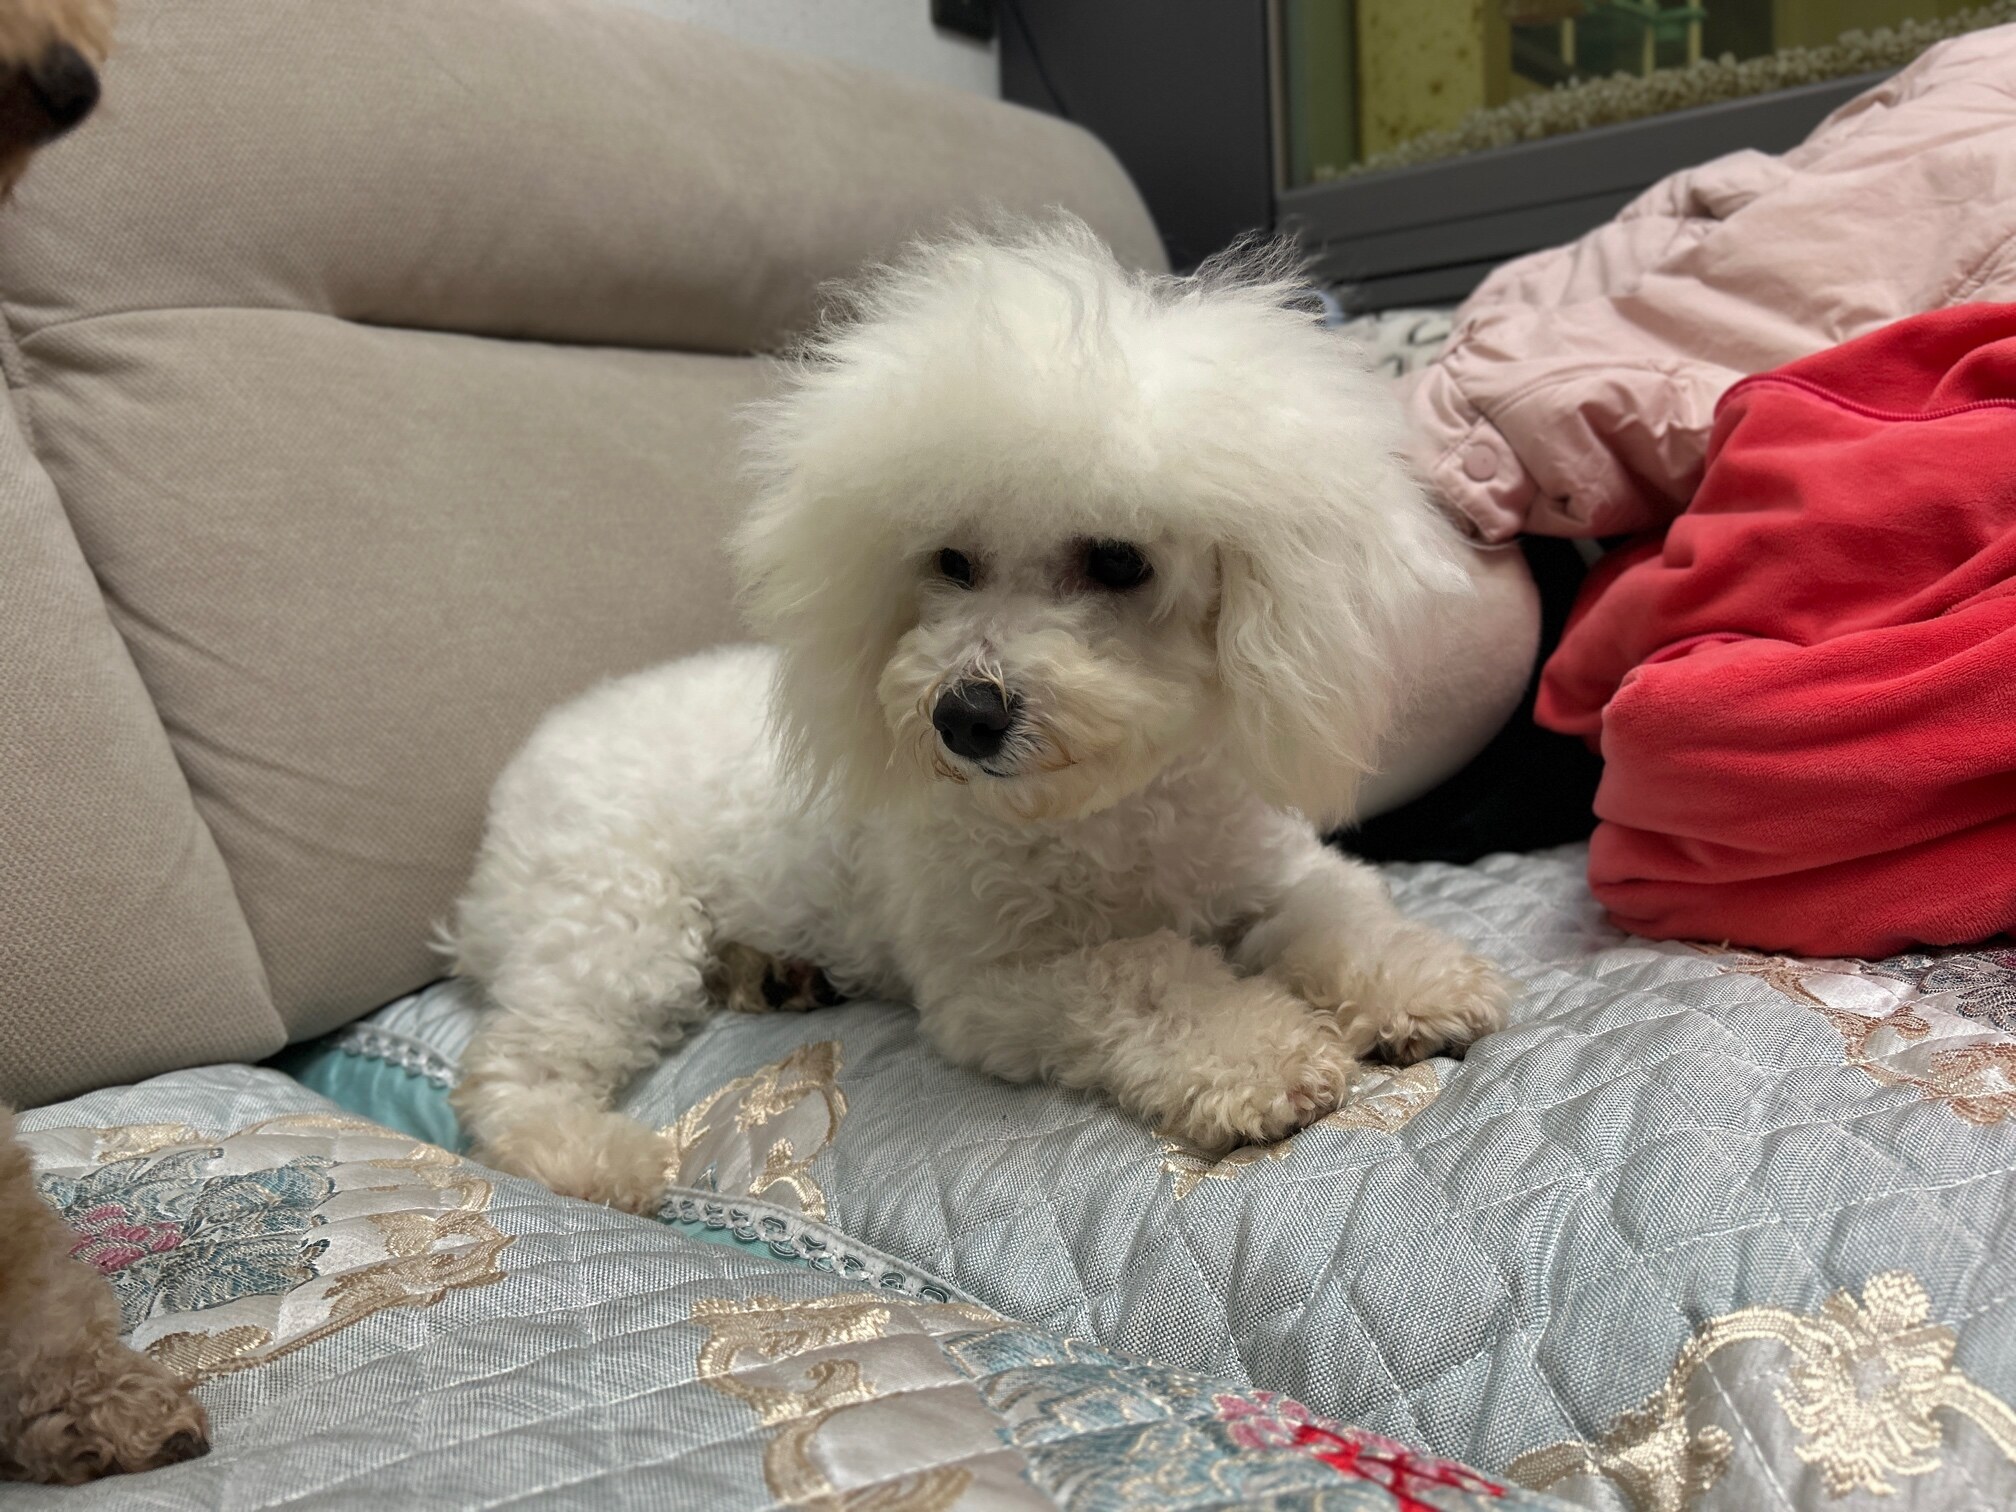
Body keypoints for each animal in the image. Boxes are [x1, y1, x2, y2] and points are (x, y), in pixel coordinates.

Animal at [447, 220, 1511, 1214]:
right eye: (951, 561)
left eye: (1119, 561)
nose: (964, 715)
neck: (1106, 813)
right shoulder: (992, 986)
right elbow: (1146, 970)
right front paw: (1260, 1058)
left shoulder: (1271, 868)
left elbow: (1336, 912)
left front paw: (1419, 986)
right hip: (610, 923)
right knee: (513, 1068)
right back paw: (597, 1157)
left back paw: (774, 972)